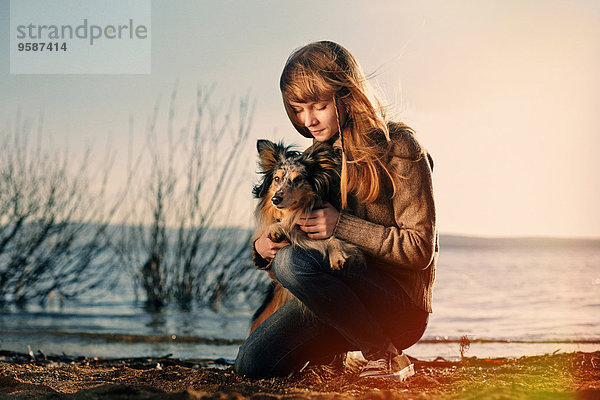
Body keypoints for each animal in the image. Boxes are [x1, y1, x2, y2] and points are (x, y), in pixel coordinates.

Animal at [250, 139, 360, 332]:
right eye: (277, 178)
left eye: (298, 179)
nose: (276, 199)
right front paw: (277, 228)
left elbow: (334, 237)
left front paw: (337, 256)